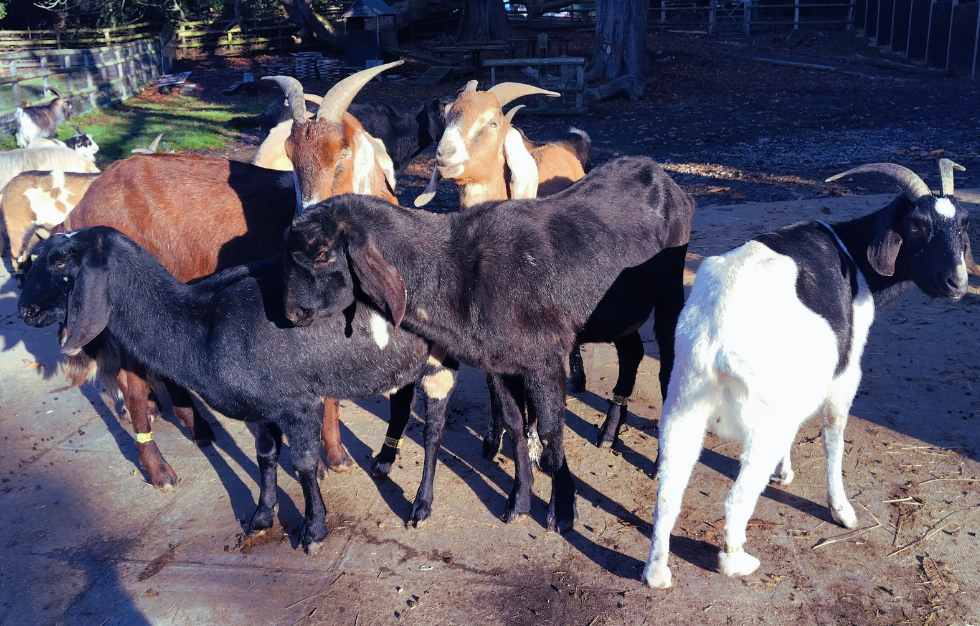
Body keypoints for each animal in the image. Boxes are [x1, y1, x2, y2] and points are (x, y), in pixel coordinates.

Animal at [19, 227, 455, 555]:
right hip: (402, 362)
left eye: (60, 261)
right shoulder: (260, 408)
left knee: (433, 432)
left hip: (441, 359)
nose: (24, 310)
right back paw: (383, 462)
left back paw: (421, 506)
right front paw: (261, 517)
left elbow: (304, 464)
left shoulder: (296, 403)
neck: (200, 323)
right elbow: (265, 457)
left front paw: (313, 530)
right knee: (401, 402)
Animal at [283, 155, 694, 532]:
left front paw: (562, 510)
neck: (457, 272)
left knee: (668, 369)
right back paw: (609, 433)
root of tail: (664, 179)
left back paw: (661, 461)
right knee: (633, 353)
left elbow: (550, 430)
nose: (290, 312)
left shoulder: (545, 357)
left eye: (323, 254)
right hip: (622, 310)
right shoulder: (500, 361)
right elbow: (514, 425)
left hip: (670, 292)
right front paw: (519, 500)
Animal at [642, 160, 973, 589]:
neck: (852, 254)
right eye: (916, 225)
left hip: (684, 399)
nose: (957, 283)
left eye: (964, 223)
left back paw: (657, 571)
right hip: (761, 419)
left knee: (668, 490)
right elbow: (833, 438)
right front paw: (842, 510)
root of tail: (716, 339)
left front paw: (784, 473)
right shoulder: (843, 375)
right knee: (736, 498)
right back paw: (738, 561)